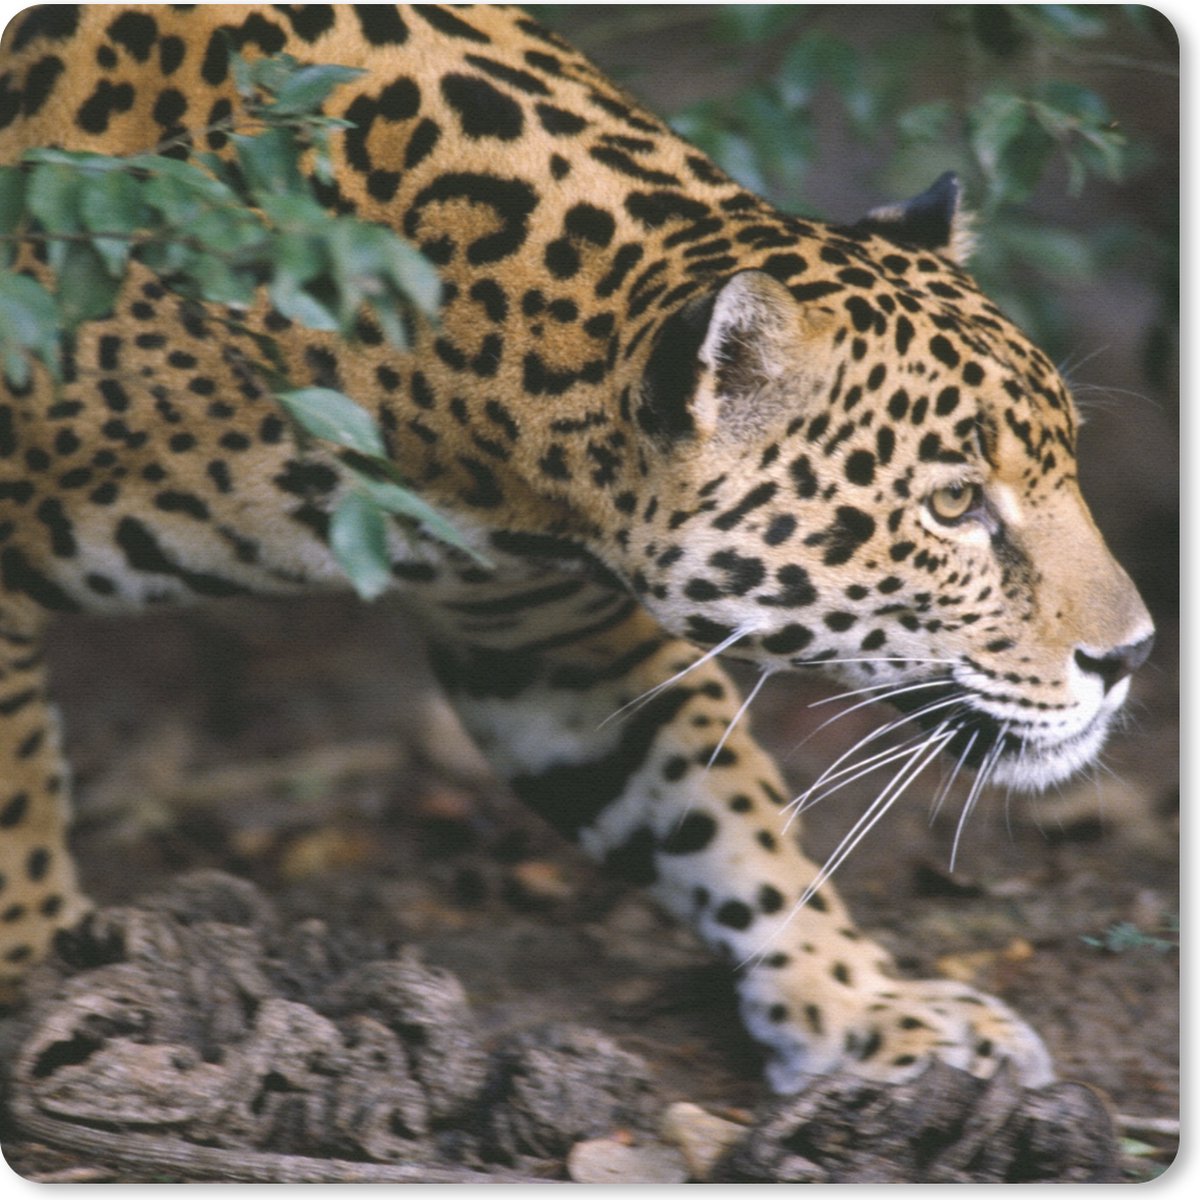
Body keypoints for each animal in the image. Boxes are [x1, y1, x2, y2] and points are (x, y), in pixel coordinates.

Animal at [0, 4, 1154, 1095]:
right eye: (954, 503)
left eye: (1065, 462)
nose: (1133, 654)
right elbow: (19, 807)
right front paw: (47, 977)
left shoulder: (544, 633)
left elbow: (711, 806)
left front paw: (863, 1003)